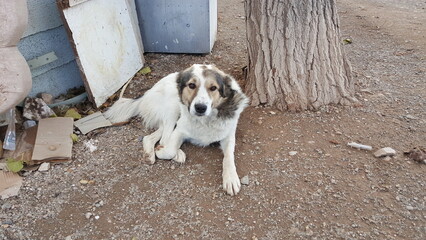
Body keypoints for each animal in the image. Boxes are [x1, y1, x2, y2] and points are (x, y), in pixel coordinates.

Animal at [104, 63, 250, 195]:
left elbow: (229, 157)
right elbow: (169, 150)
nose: (200, 108)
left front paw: (231, 178)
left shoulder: (229, 134)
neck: (205, 120)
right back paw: (175, 153)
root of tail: (147, 92)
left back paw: (150, 153)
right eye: (191, 85)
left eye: (213, 88)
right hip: (172, 107)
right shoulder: (180, 129)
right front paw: (164, 152)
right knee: (165, 139)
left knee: (150, 137)